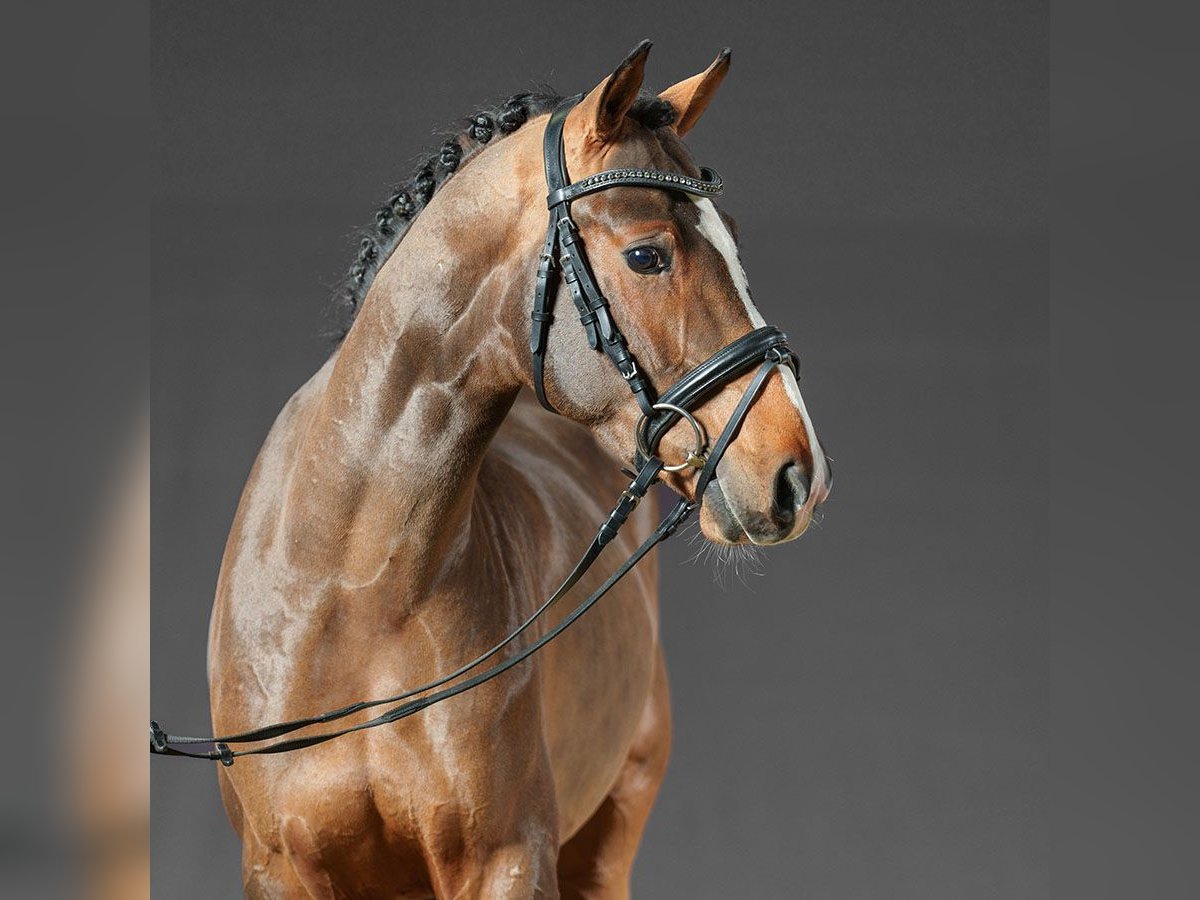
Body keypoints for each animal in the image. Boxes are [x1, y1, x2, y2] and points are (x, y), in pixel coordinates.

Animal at [204, 44, 825, 900]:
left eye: (731, 238)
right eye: (647, 254)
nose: (798, 473)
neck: (354, 587)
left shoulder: (507, 859)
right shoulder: (281, 869)